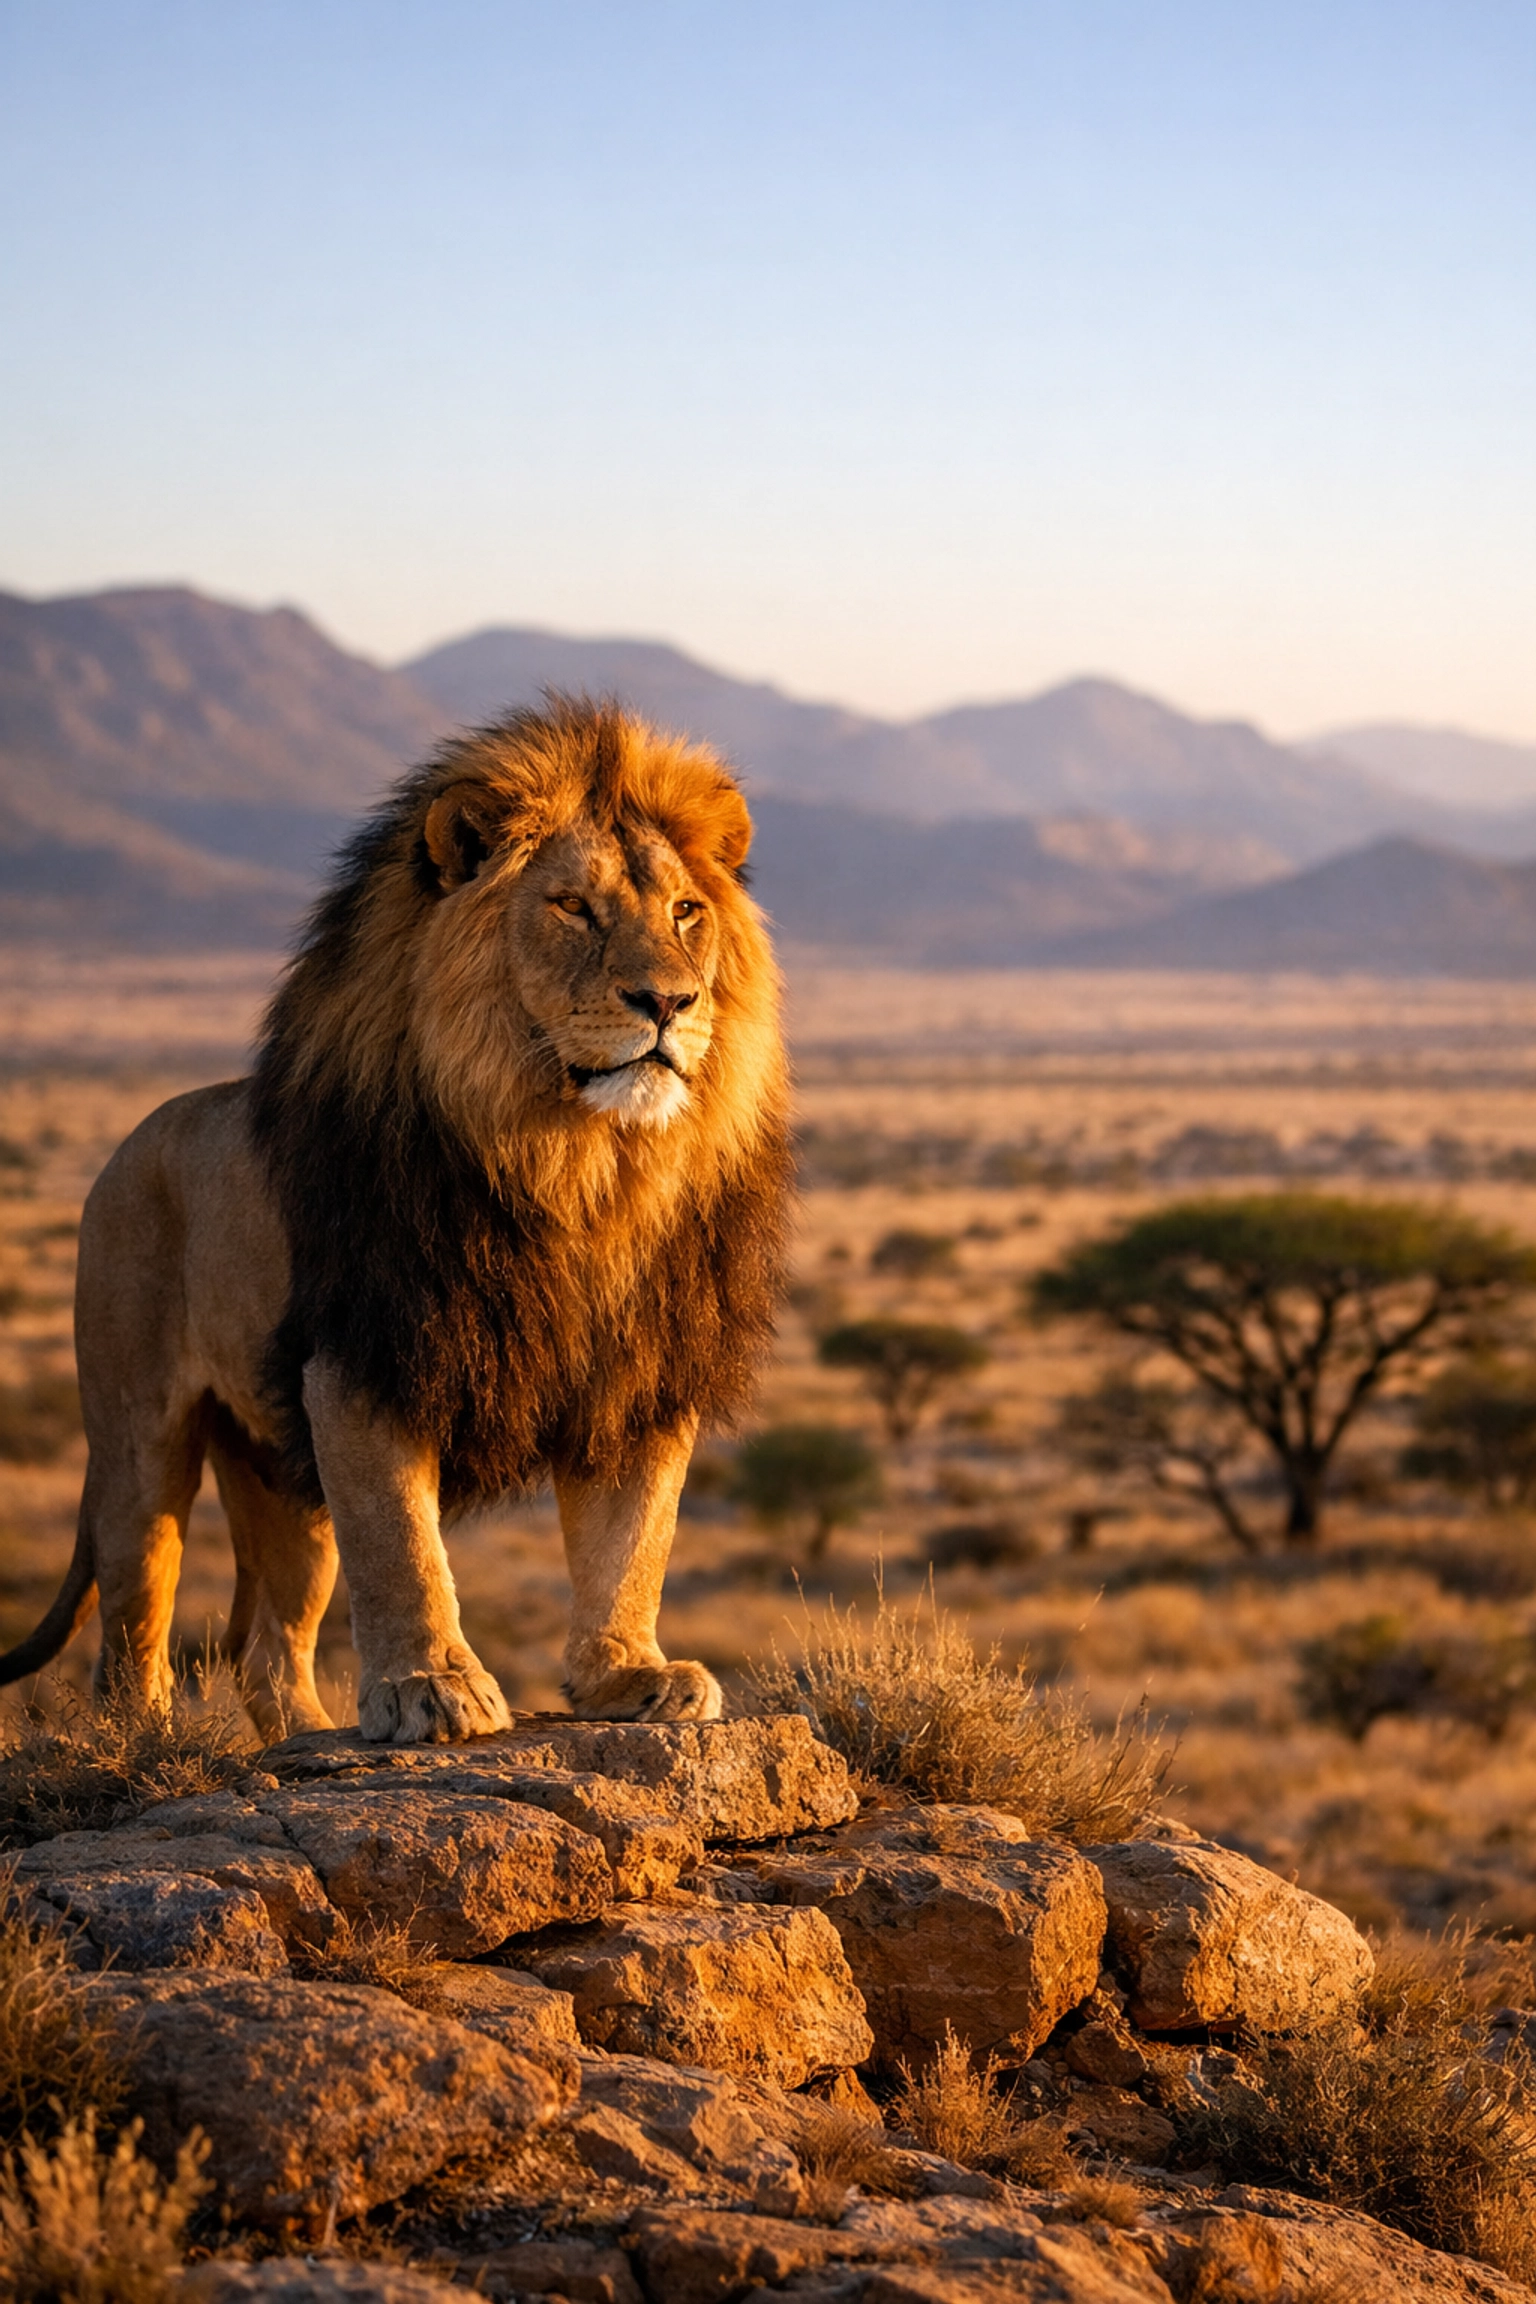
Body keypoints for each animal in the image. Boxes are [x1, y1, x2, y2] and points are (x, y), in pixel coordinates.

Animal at [0, 700, 792, 1743]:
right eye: (572, 908)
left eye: (685, 913)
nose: (668, 1001)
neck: (578, 1168)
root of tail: (128, 1144)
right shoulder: (365, 1353)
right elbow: (401, 1541)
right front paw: (429, 1686)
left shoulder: (642, 1368)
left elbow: (634, 1539)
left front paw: (629, 1674)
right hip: (139, 1438)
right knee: (133, 1621)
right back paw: (147, 1746)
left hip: (278, 1467)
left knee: (269, 1649)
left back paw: (302, 1733)